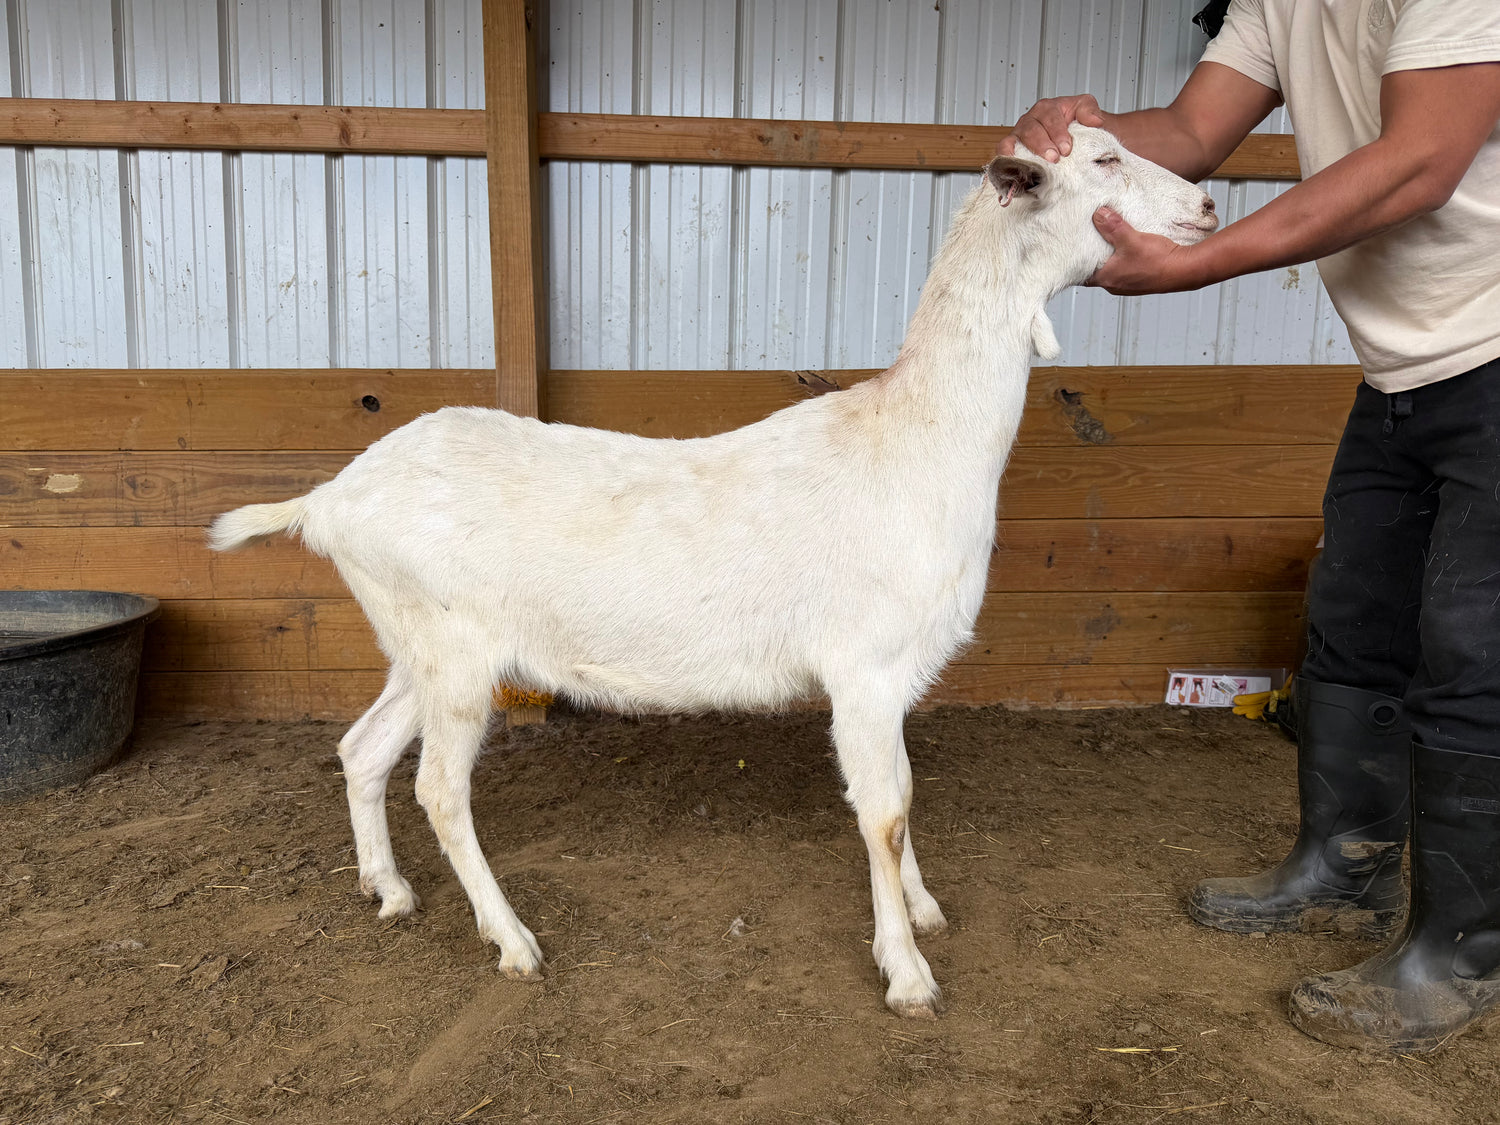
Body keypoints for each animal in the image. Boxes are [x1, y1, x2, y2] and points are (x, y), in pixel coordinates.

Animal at [208, 126, 1218, 1018]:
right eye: (1105, 157)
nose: (1209, 206)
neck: (914, 439)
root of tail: (331, 497)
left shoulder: (894, 676)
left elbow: (903, 794)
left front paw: (925, 909)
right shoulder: (863, 666)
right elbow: (883, 812)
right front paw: (907, 973)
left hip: (414, 643)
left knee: (364, 747)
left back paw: (386, 889)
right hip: (454, 650)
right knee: (441, 791)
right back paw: (513, 940)